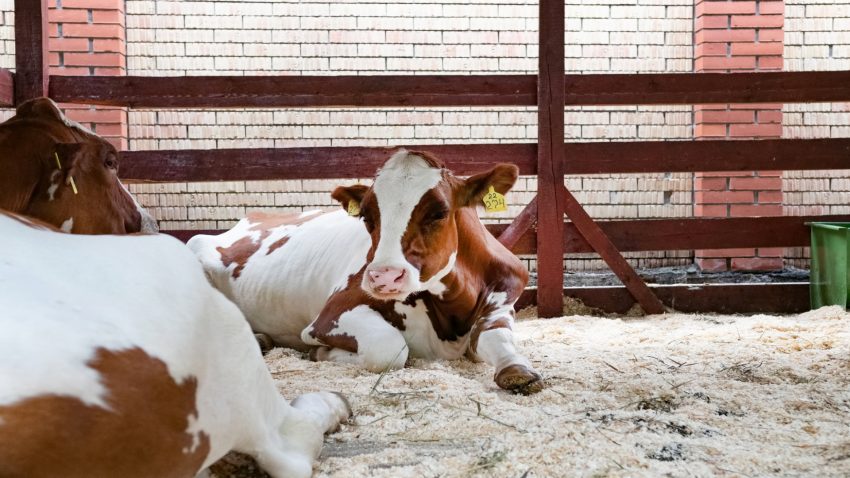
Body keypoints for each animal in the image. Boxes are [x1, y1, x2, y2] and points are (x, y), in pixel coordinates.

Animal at [189, 149, 543, 395]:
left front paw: (517, 369)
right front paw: (322, 353)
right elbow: (390, 349)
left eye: (439, 212)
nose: (383, 276)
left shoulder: (502, 301)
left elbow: (497, 338)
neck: (450, 314)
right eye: (367, 217)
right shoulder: (330, 315)